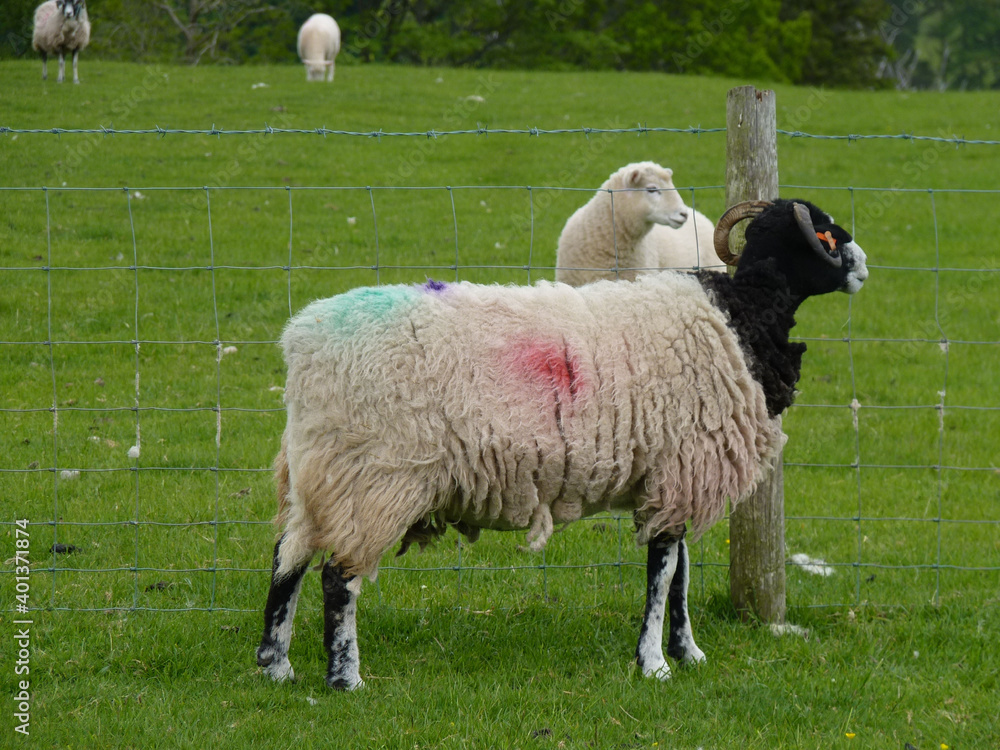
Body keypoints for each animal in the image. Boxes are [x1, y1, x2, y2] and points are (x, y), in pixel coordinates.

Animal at [255, 198, 869, 689]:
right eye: (825, 236)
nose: (864, 267)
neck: (741, 315)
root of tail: (303, 343)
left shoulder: (674, 470)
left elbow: (682, 572)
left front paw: (687, 651)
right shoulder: (681, 463)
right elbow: (663, 571)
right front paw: (654, 664)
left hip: (321, 466)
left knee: (288, 557)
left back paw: (276, 665)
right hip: (376, 476)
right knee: (338, 578)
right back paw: (345, 678)